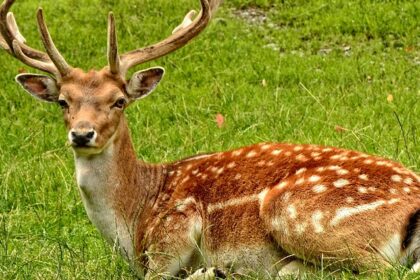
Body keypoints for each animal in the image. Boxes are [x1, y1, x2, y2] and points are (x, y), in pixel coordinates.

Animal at [0, 0, 420, 278]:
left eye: (118, 100)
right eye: (63, 101)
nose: (82, 133)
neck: (134, 217)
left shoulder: (175, 227)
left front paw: (208, 270)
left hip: (297, 212)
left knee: (382, 270)